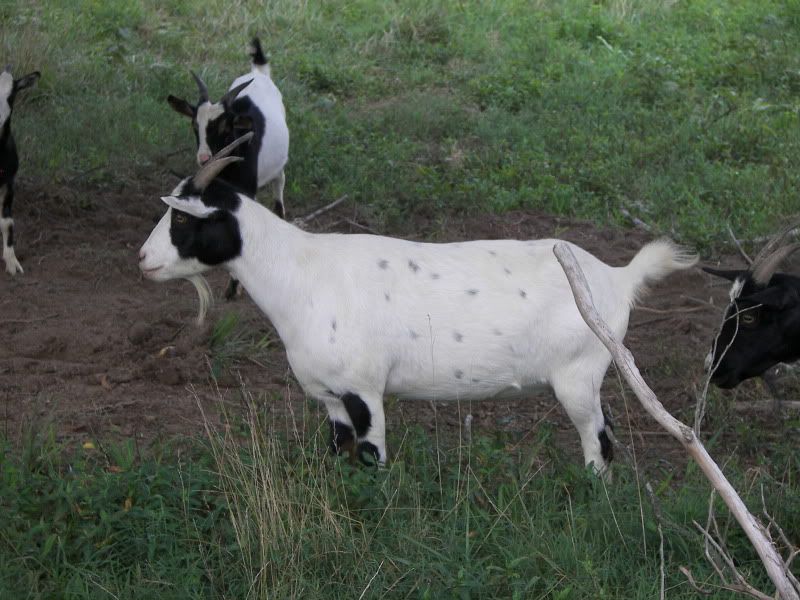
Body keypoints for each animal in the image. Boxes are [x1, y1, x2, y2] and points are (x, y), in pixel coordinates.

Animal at [139, 135, 697, 472]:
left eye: (182, 218)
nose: (143, 259)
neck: (301, 273)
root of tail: (619, 278)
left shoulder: (364, 389)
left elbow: (372, 457)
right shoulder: (330, 397)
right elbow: (340, 454)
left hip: (579, 373)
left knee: (598, 439)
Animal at [167, 38, 289, 298]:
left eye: (224, 127)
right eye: (195, 126)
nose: (204, 158)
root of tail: (258, 72)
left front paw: (234, 288)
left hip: (280, 164)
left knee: (280, 181)